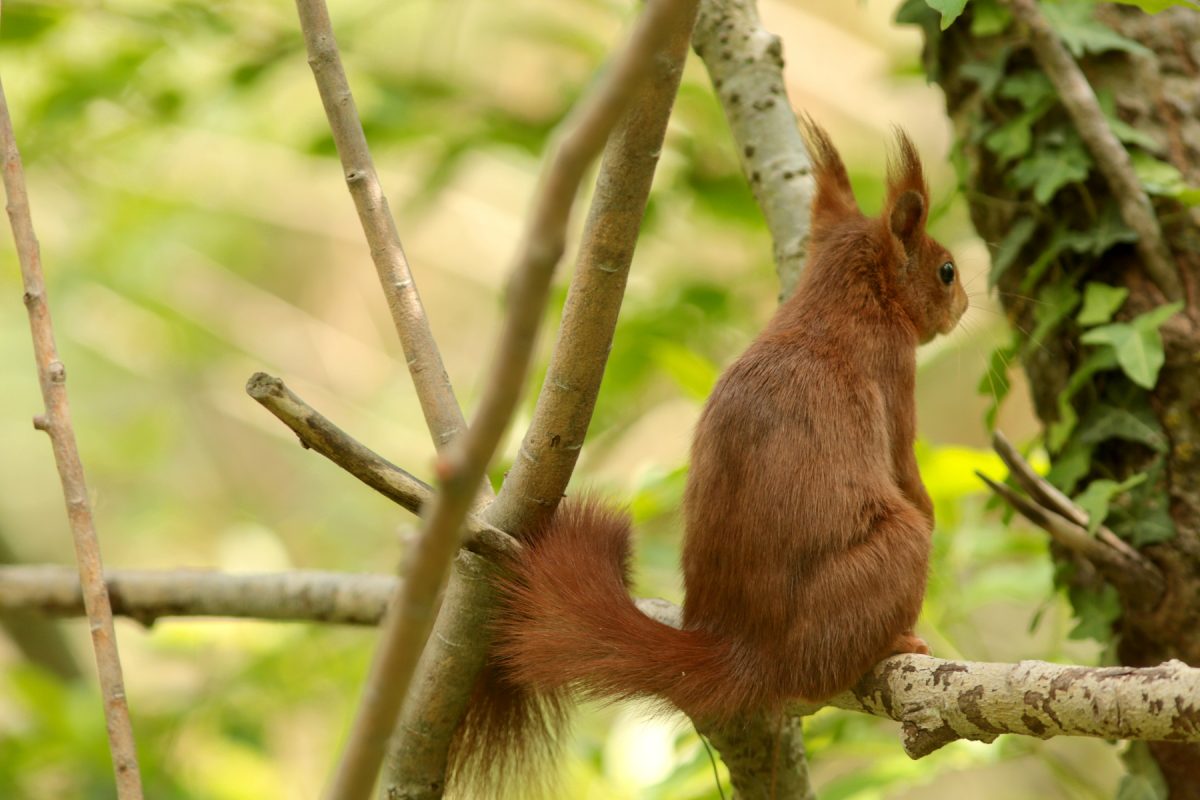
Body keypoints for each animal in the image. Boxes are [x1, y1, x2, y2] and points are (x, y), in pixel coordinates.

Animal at [448, 123, 964, 786]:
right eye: (946, 270)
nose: (966, 302)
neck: (840, 298)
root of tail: (743, 650)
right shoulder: (894, 376)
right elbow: (909, 476)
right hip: (889, 557)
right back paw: (892, 644)